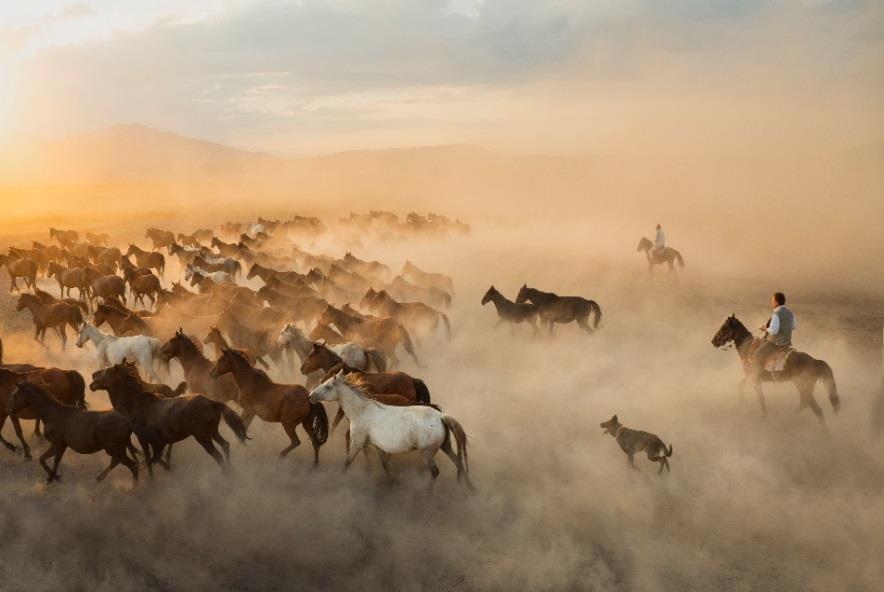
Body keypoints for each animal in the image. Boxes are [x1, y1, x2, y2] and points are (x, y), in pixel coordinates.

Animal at [6, 382, 142, 484]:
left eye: (15, 396)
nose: (9, 411)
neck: (52, 414)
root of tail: (126, 422)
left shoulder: (57, 444)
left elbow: (42, 459)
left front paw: (53, 478)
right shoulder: (62, 446)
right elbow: (56, 461)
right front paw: (53, 477)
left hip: (114, 449)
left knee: (132, 466)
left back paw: (133, 489)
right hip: (118, 449)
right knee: (118, 462)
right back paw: (99, 479)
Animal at [91, 364, 249, 474]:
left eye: (107, 371)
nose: (92, 376)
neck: (137, 405)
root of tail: (211, 402)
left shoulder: (144, 439)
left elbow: (150, 459)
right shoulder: (157, 441)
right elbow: (155, 457)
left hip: (203, 437)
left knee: (217, 455)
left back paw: (226, 475)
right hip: (212, 432)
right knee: (225, 445)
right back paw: (231, 470)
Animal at [310, 370, 474, 490]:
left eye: (327, 386)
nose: (311, 396)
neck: (361, 411)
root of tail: (441, 416)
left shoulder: (356, 442)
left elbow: (347, 462)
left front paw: (340, 479)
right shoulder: (378, 446)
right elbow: (384, 463)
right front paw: (390, 482)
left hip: (427, 452)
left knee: (435, 472)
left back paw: (428, 494)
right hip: (446, 446)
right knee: (459, 463)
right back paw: (470, 490)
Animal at [708, 314, 840, 426]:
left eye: (724, 327)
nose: (713, 341)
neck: (749, 349)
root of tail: (815, 361)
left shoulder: (754, 379)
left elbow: (757, 396)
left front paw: (758, 413)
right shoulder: (752, 378)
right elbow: (744, 387)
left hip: (803, 386)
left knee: (816, 409)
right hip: (801, 386)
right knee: (804, 403)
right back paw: (788, 418)